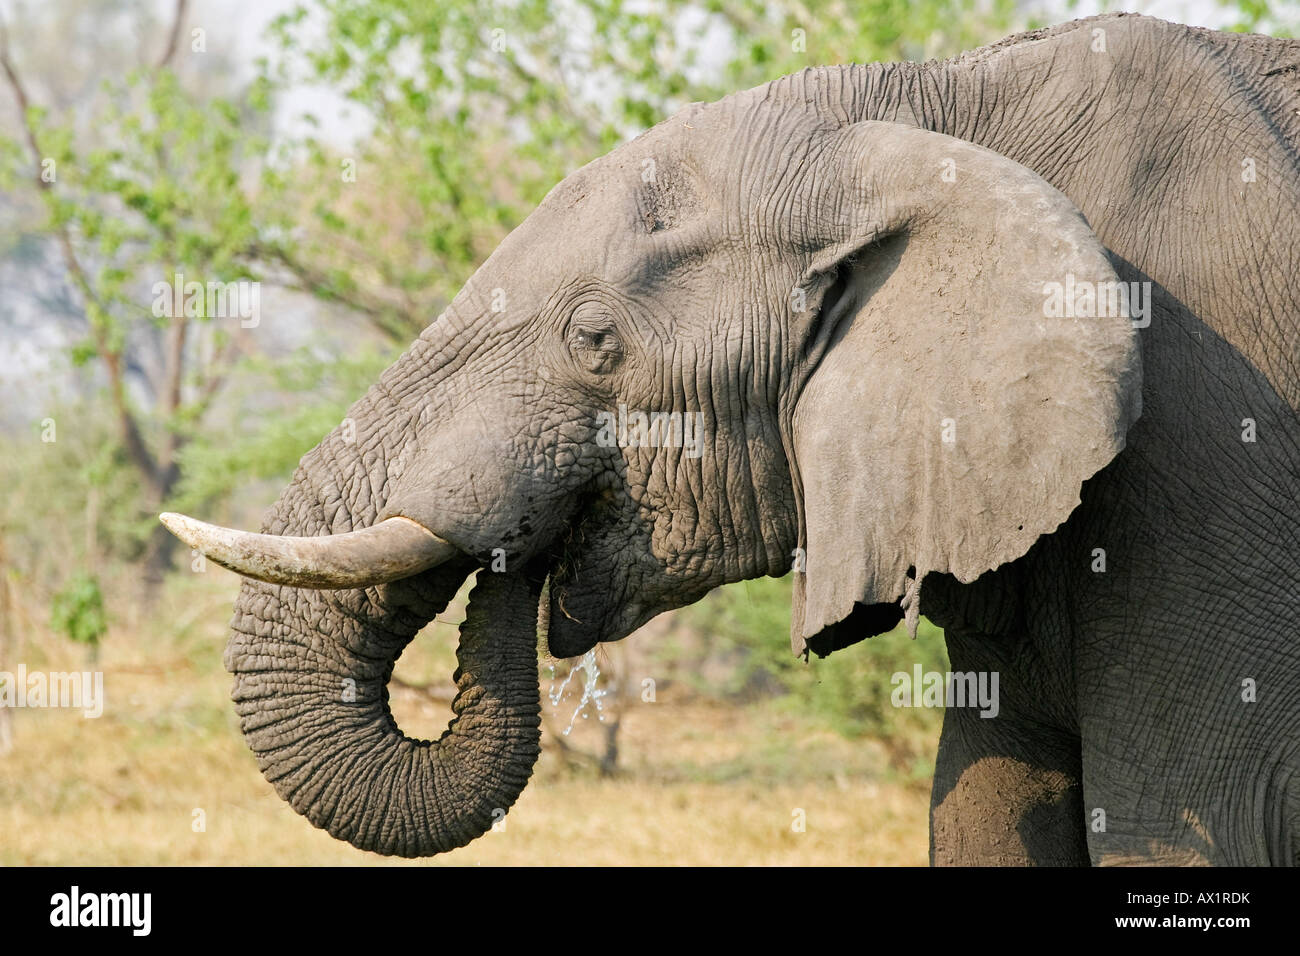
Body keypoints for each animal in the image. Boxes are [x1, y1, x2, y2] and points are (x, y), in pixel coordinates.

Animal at [165, 14, 1300, 868]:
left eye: (594, 340)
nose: (519, 552)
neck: (927, 114)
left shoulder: (1209, 453)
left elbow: (1173, 825)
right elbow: (986, 811)